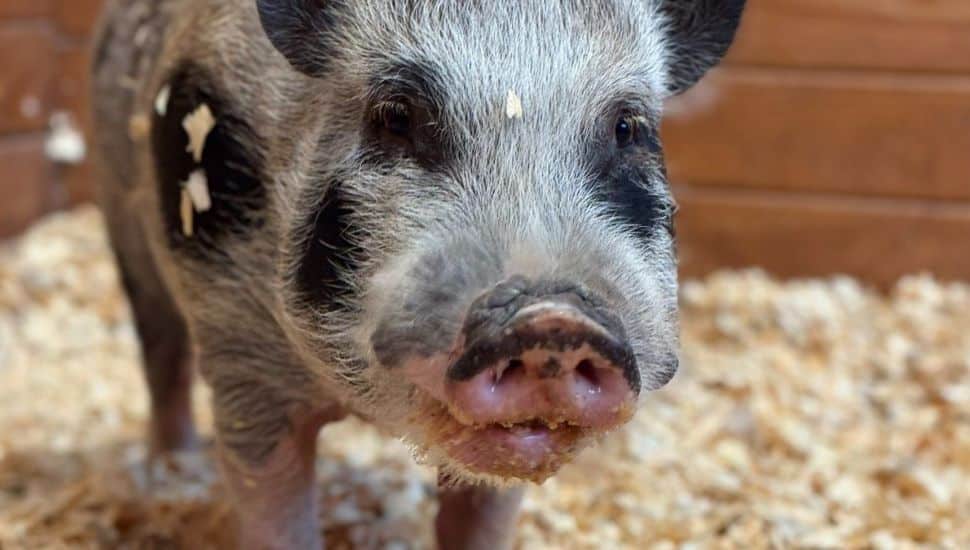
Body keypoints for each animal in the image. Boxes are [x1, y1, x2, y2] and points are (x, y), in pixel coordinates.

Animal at [90, 1, 746, 548]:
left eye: (627, 129)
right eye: (396, 116)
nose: (550, 317)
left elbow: (479, 516)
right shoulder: (239, 350)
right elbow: (271, 500)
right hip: (123, 222)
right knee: (161, 353)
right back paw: (174, 470)